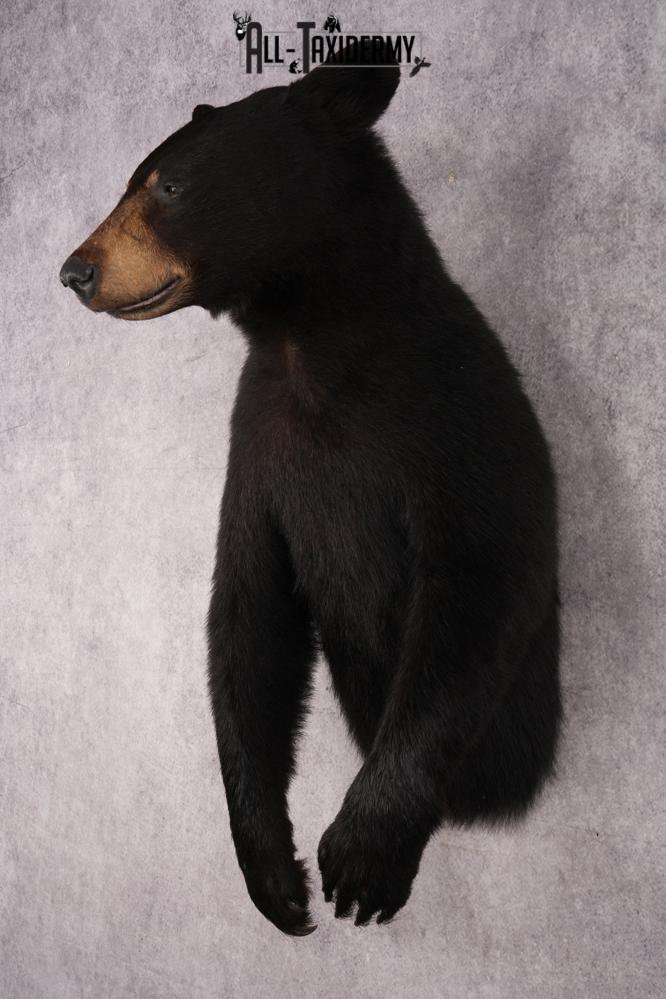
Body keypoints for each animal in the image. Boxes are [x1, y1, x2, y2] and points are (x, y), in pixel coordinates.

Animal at [59, 47, 561, 937]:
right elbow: (248, 610)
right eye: (135, 181)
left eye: (168, 185)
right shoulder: (260, 440)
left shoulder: (452, 414)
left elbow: (484, 580)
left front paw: (364, 853)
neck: (310, 340)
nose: (75, 271)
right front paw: (273, 874)